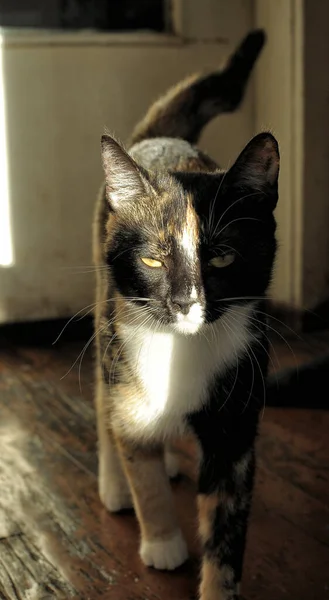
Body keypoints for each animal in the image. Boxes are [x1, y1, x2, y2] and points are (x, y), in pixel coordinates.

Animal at [93, 28, 280, 600]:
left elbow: (226, 526)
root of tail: (160, 138)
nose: (184, 301)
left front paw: (219, 586)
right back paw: (115, 483)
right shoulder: (123, 367)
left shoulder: (236, 424)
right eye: (153, 258)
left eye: (221, 257)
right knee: (101, 400)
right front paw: (161, 543)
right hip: (102, 317)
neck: (180, 351)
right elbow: (143, 469)